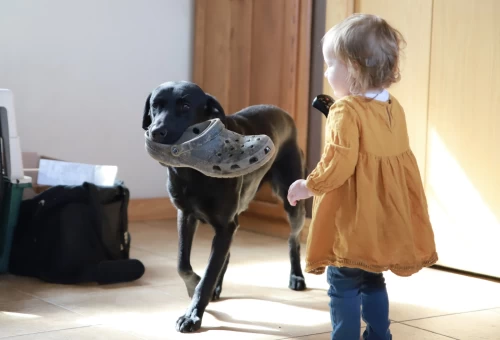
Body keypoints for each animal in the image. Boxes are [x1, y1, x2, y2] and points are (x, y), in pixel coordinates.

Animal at [140, 81, 304, 332]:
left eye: (185, 106)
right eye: (155, 106)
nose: (157, 132)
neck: (192, 171)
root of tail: (284, 113)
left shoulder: (225, 225)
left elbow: (207, 275)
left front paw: (193, 315)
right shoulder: (186, 216)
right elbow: (182, 264)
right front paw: (193, 286)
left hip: (292, 200)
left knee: (293, 240)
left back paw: (296, 276)